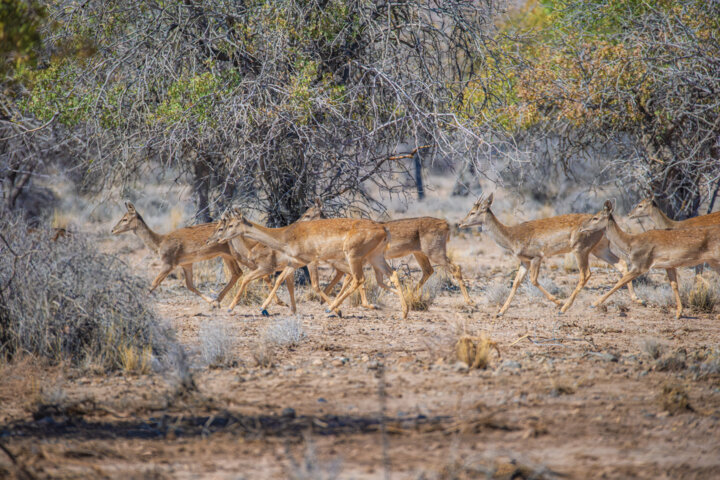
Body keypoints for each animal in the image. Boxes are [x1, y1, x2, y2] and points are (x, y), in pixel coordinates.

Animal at [111, 202, 246, 304]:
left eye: (125, 219)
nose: (113, 230)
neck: (159, 243)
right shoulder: (186, 264)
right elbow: (190, 285)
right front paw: (212, 302)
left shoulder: (168, 263)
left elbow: (153, 284)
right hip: (225, 255)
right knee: (237, 272)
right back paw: (217, 300)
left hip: (233, 254)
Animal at [458, 193, 640, 316]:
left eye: (473, 212)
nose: (460, 223)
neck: (511, 237)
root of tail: (603, 229)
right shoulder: (524, 261)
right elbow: (516, 283)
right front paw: (500, 312)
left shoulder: (537, 256)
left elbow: (533, 280)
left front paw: (558, 302)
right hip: (599, 248)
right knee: (622, 263)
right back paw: (636, 299)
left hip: (581, 249)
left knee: (586, 274)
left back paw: (565, 308)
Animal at [576, 202, 720, 318]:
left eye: (595, 217)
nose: (581, 227)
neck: (630, 243)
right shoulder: (669, 266)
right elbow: (674, 285)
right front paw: (679, 313)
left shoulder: (640, 266)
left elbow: (620, 282)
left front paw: (593, 304)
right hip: (713, 263)